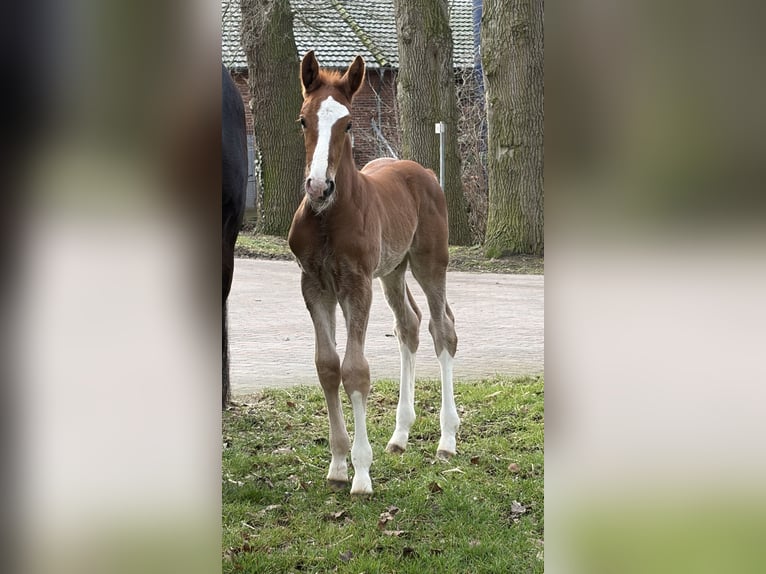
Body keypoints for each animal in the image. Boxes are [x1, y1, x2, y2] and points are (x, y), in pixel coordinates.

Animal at [288, 51, 459, 494]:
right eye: (303, 119)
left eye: (348, 123)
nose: (318, 187)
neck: (328, 218)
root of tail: (425, 172)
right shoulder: (315, 286)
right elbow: (328, 366)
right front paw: (337, 465)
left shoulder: (356, 284)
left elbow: (355, 370)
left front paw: (362, 474)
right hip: (393, 272)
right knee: (409, 325)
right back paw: (400, 435)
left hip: (429, 261)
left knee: (442, 329)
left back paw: (447, 440)